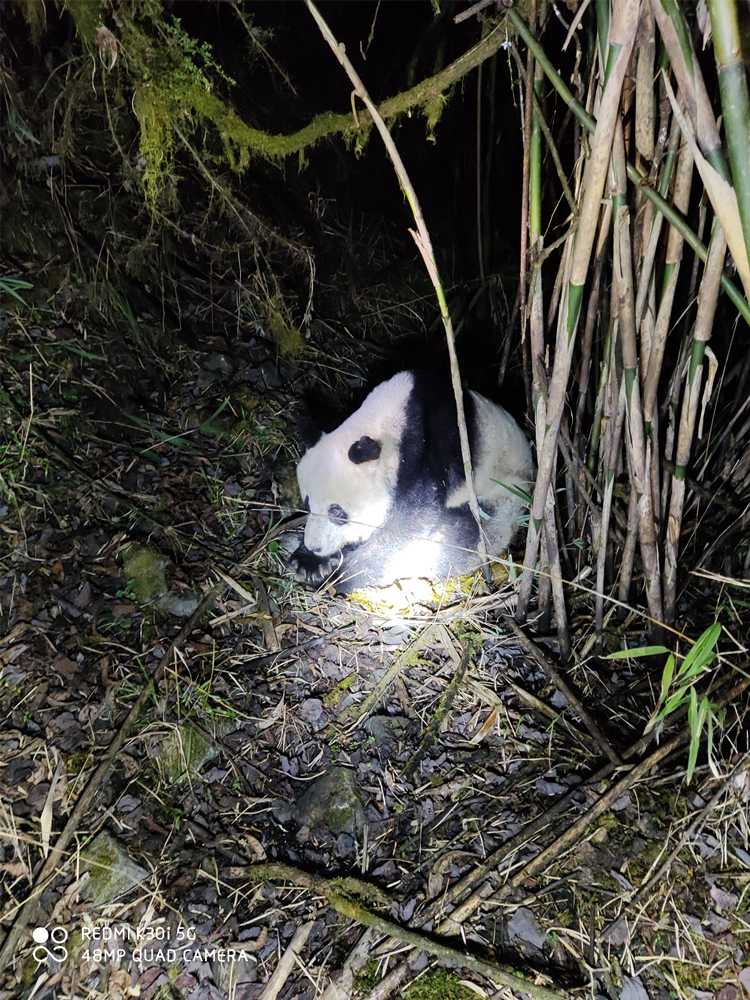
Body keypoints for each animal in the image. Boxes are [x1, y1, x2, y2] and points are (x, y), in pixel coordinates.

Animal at [290, 374, 536, 592]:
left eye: (336, 511)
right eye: (307, 504)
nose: (315, 545)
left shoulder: (432, 451)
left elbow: (411, 524)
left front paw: (339, 576)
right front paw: (308, 561)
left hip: (503, 498)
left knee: (462, 538)